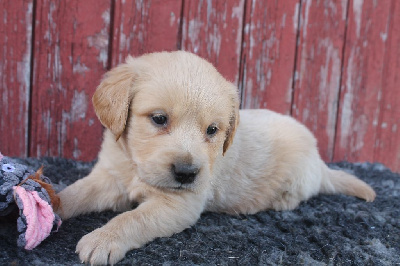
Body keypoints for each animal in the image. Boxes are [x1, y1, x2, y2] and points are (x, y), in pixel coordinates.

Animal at [57, 51, 376, 264]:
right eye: (159, 119)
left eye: (212, 130)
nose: (186, 173)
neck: (135, 166)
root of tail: (320, 162)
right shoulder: (109, 176)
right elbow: (75, 193)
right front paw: (53, 205)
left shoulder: (179, 205)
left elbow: (133, 218)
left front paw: (103, 239)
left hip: (299, 176)